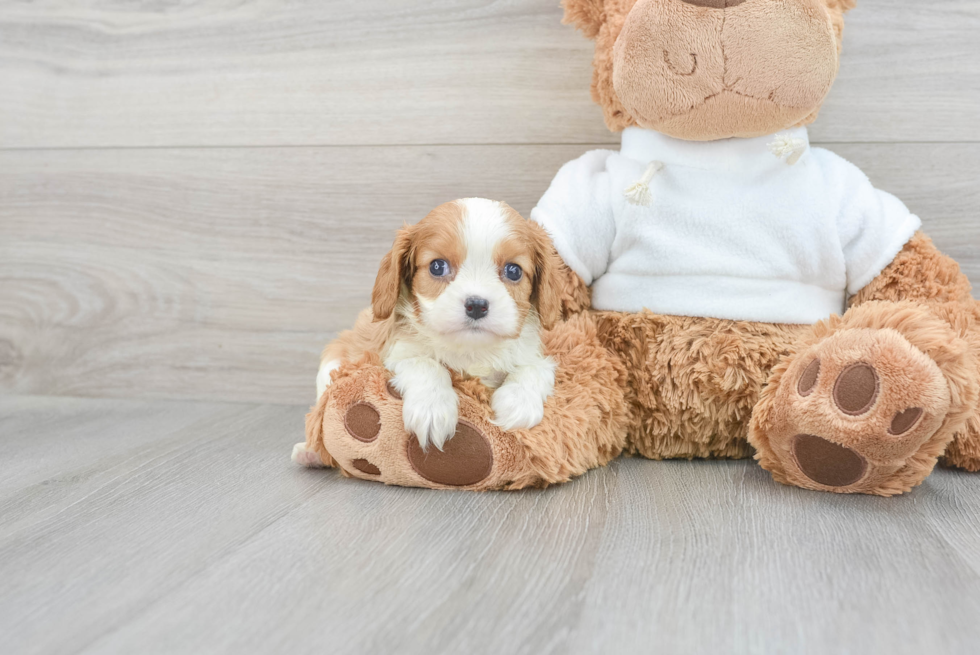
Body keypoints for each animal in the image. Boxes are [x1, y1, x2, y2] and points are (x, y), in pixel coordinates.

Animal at [318, 197, 564, 448]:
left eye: (513, 271)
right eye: (437, 266)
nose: (477, 305)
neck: (470, 350)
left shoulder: (532, 355)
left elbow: (537, 367)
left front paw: (518, 402)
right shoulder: (394, 355)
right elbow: (426, 363)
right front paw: (432, 409)